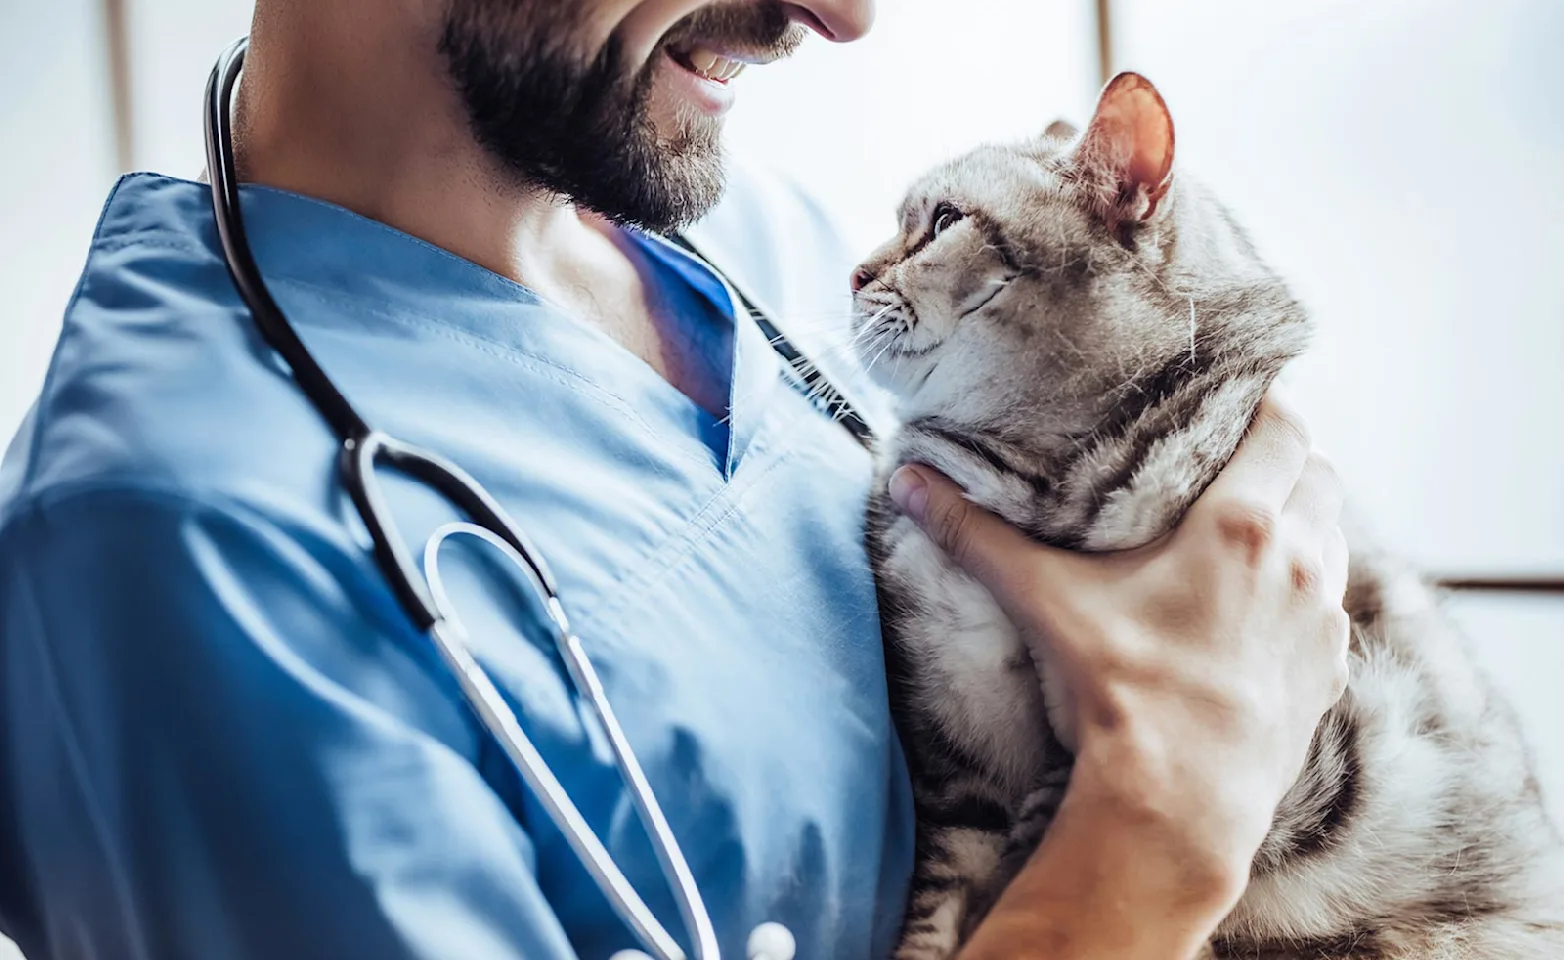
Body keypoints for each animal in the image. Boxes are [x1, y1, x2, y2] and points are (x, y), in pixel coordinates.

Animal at [850, 75, 1564, 960]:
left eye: (944, 219)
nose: (852, 274)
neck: (1021, 483)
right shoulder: (952, 759)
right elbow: (939, 903)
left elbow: (1041, 831)